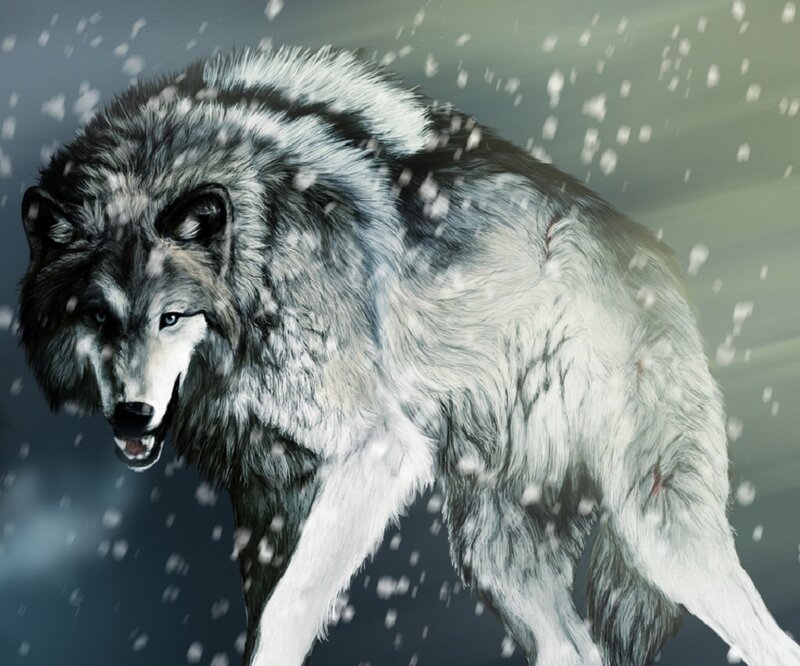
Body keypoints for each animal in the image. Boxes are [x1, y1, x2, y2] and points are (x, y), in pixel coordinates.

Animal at [17, 46, 800, 665]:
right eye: (97, 317)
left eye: (172, 316)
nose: (132, 414)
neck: (259, 258)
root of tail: (659, 260)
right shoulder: (266, 502)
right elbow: (264, 616)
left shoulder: (377, 452)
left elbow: (290, 610)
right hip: (492, 552)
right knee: (573, 649)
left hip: (656, 532)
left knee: (769, 641)